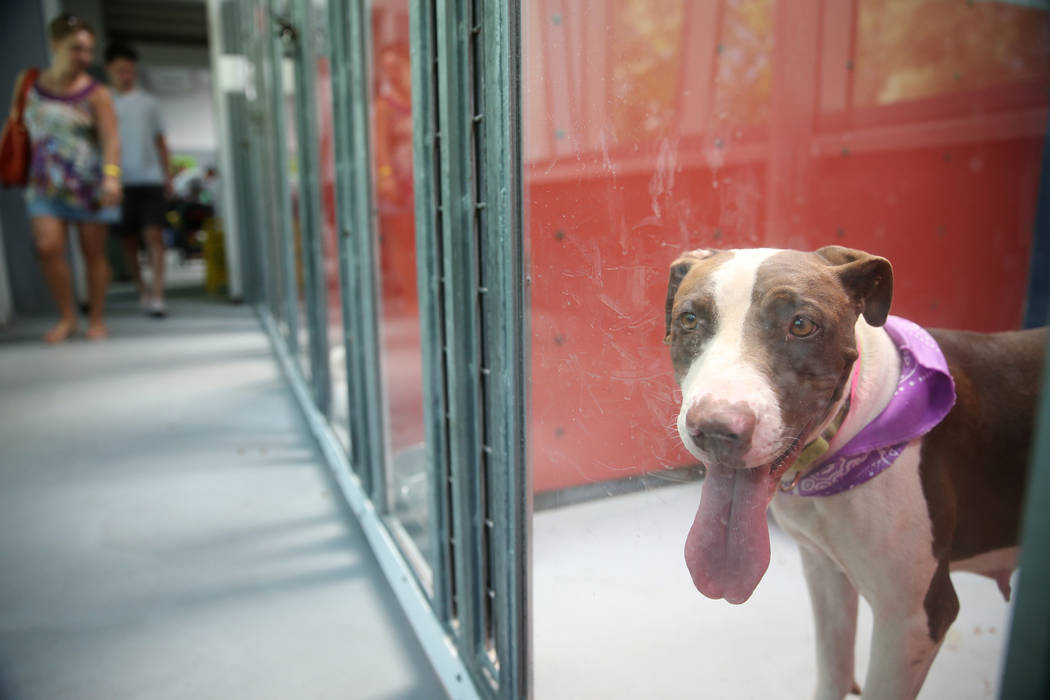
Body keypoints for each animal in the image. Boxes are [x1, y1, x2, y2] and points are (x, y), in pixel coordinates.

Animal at [663, 246, 1041, 700]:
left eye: (802, 325)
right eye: (689, 319)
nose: (718, 430)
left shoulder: (911, 620)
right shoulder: (824, 572)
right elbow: (833, 668)